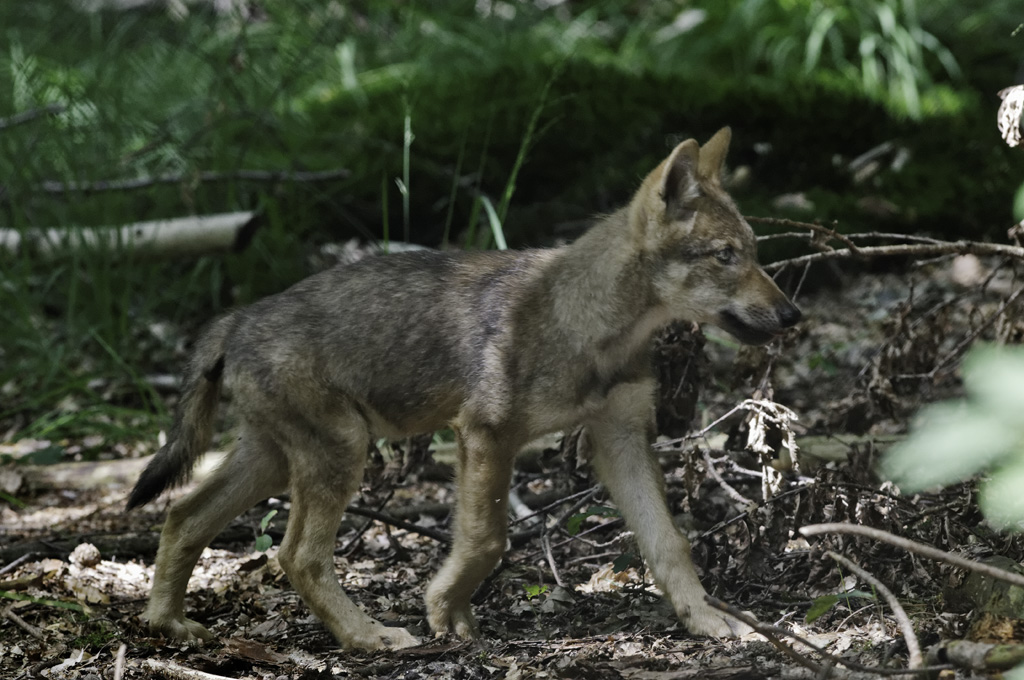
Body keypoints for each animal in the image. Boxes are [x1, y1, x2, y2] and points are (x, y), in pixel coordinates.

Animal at [127, 127, 801, 650]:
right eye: (725, 255)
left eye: (754, 253)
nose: (792, 314)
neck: (594, 327)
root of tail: (237, 319)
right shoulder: (486, 433)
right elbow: (486, 539)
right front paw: (444, 611)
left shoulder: (621, 439)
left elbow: (670, 543)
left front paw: (707, 620)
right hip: (340, 452)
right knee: (297, 557)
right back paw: (369, 637)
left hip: (275, 461)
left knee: (183, 517)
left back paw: (168, 624)